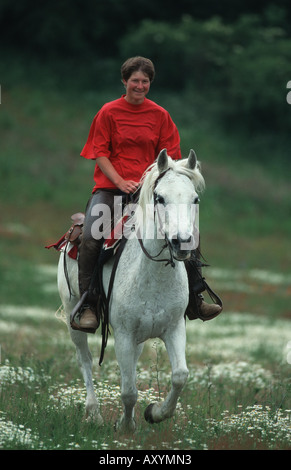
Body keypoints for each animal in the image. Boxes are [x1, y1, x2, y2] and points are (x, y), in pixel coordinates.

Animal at [57, 149, 205, 432]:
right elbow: (128, 391)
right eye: (160, 198)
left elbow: (180, 376)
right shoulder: (124, 334)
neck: (153, 274)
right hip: (74, 318)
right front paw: (125, 426)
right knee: (85, 359)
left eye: (195, 198)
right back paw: (94, 412)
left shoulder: (174, 328)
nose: (182, 242)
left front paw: (154, 413)